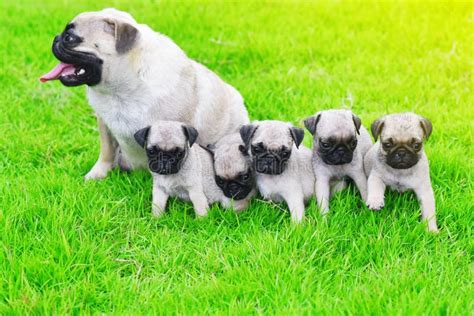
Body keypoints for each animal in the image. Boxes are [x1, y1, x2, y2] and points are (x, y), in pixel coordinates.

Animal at [40, 7, 248, 179]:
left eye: (70, 38)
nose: (56, 38)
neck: (120, 91)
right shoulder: (104, 124)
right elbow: (106, 153)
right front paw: (97, 175)